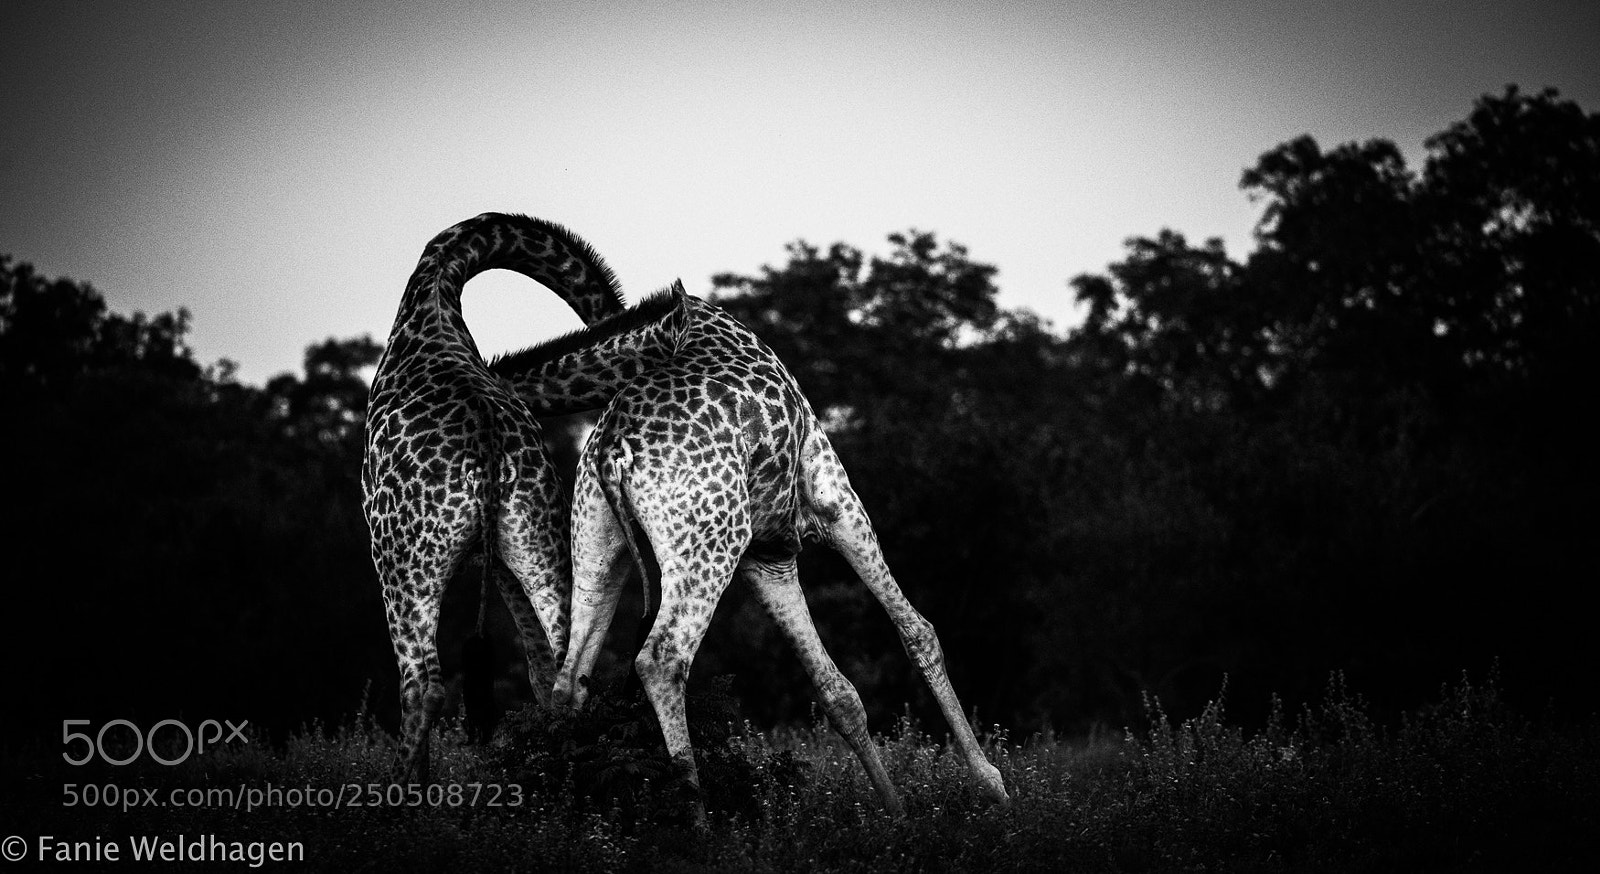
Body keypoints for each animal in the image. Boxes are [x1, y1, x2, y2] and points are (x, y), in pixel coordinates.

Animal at [362, 212, 688, 779]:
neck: (435, 289)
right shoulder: (501, 560)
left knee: (421, 684)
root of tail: (489, 440)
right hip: (537, 541)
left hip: (404, 561)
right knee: (561, 670)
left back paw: (397, 797)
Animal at [491, 293, 1011, 822]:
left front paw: (896, 817)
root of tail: (612, 450)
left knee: (570, 679)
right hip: (706, 542)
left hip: (600, 543)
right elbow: (918, 632)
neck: (672, 330)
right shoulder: (832, 494)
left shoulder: (766, 553)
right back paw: (698, 824)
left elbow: (837, 691)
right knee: (660, 660)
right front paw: (992, 787)